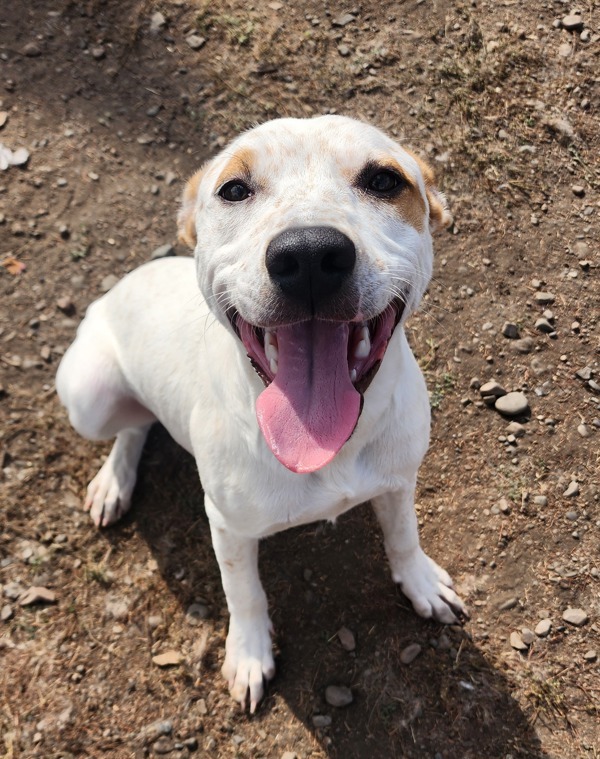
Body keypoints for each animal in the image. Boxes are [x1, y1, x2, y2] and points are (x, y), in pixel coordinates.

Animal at [56, 114, 466, 712]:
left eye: (385, 181)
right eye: (233, 189)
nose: (310, 255)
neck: (329, 448)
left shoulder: (397, 481)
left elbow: (404, 536)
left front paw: (420, 583)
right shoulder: (227, 527)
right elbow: (243, 592)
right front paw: (249, 655)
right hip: (90, 396)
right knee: (132, 425)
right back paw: (114, 481)